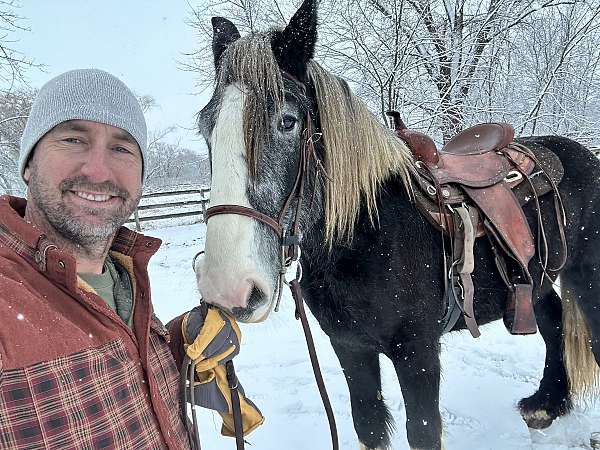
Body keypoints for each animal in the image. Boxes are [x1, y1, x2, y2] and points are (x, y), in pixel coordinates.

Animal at [193, 1, 600, 448]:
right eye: (207, 127)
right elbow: (368, 422)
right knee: (553, 320)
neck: (368, 234)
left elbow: (421, 430)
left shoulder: (417, 353)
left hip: (588, 276)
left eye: (287, 121)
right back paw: (547, 403)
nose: (227, 286)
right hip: (536, 277)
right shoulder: (350, 347)